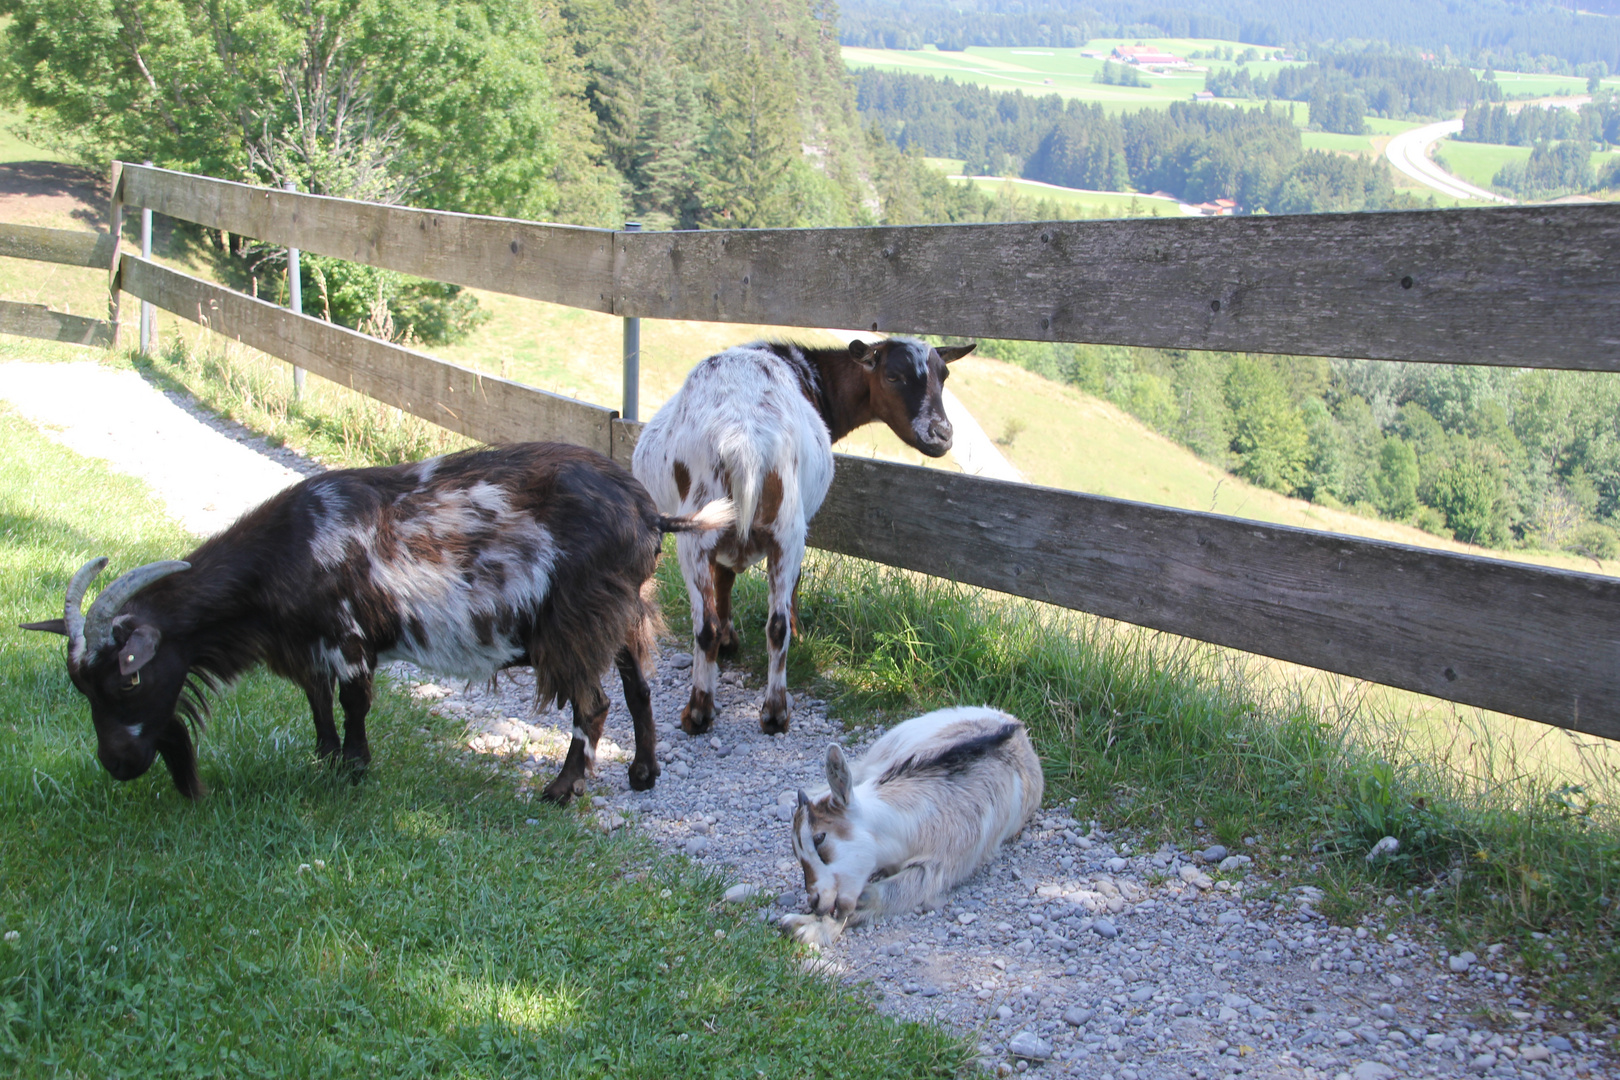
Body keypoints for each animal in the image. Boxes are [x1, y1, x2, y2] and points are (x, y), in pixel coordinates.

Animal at [22, 440, 732, 803]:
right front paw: (325, 758)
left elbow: (354, 702)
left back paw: (561, 790)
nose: (117, 765)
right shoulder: (306, 646)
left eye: (129, 679)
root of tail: (649, 512)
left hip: (576, 620)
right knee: (638, 687)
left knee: (594, 704)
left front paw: (356, 768)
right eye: (82, 689)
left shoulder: (346, 636)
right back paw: (643, 774)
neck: (289, 549)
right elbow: (317, 702)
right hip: (623, 609)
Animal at [625, 338, 965, 738]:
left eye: (944, 375)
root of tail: (743, 438)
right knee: (751, 623)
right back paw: (741, 713)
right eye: (893, 375)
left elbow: (726, 579)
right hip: (773, 527)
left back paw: (732, 713)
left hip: (724, 526)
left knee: (735, 625)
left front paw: (729, 640)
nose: (942, 435)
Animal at [780, 702, 1036, 945]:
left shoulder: (940, 867)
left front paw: (808, 928)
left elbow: (873, 895)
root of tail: (1011, 720)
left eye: (819, 838)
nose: (814, 900)